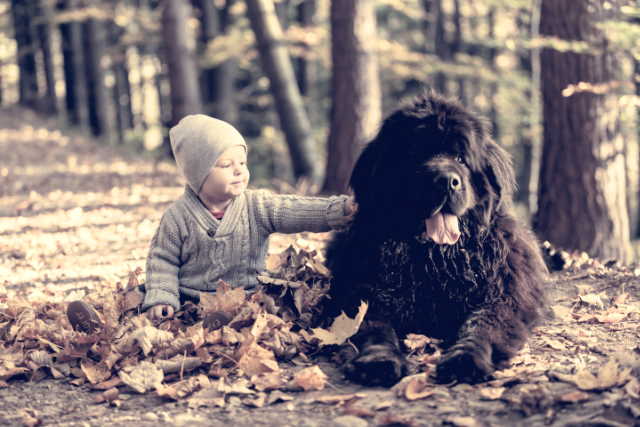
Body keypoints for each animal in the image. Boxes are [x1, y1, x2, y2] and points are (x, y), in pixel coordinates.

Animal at [322, 93, 548, 388]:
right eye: (415, 155)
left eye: (461, 158)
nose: (446, 181)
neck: (435, 258)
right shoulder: (359, 294)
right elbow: (372, 325)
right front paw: (379, 361)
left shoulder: (503, 295)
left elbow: (484, 323)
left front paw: (466, 359)